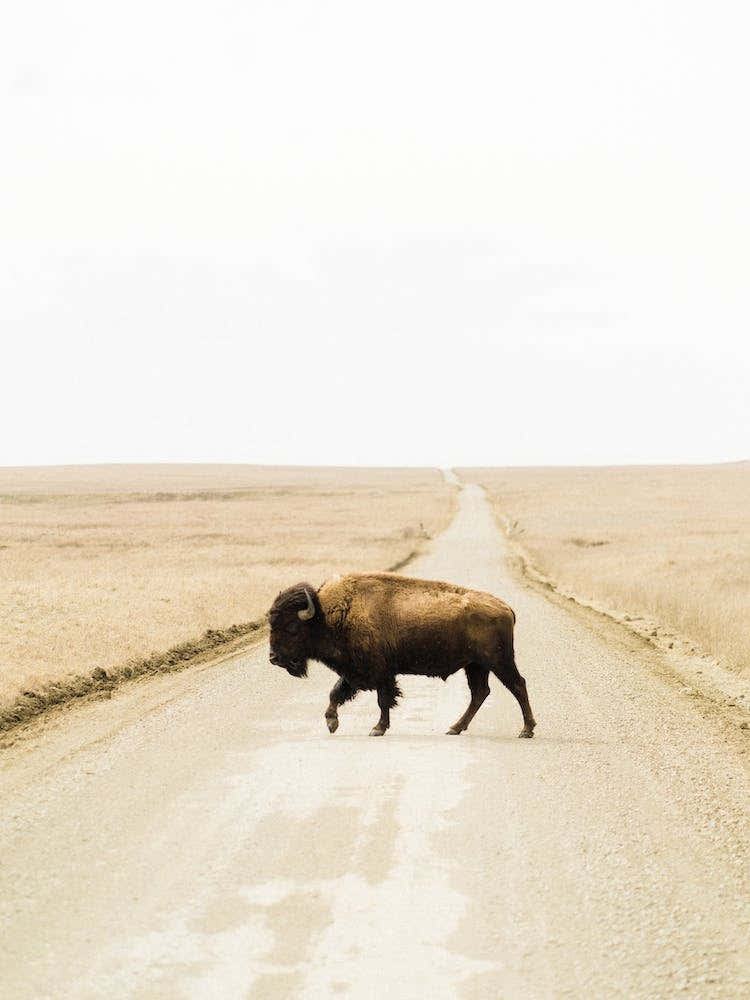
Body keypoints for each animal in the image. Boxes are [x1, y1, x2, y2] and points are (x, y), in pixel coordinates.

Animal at [268, 572, 536, 738]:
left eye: (292, 627)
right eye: (272, 623)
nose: (273, 658)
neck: (328, 615)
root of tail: (506, 608)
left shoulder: (380, 673)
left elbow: (383, 700)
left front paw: (377, 729)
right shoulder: (354, 671)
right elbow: (336, 692)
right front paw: (332, 723)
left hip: (499, 662)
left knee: (517, 685)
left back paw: (526, 730)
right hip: (475, 666)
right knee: (480, 693)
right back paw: (454, 728)